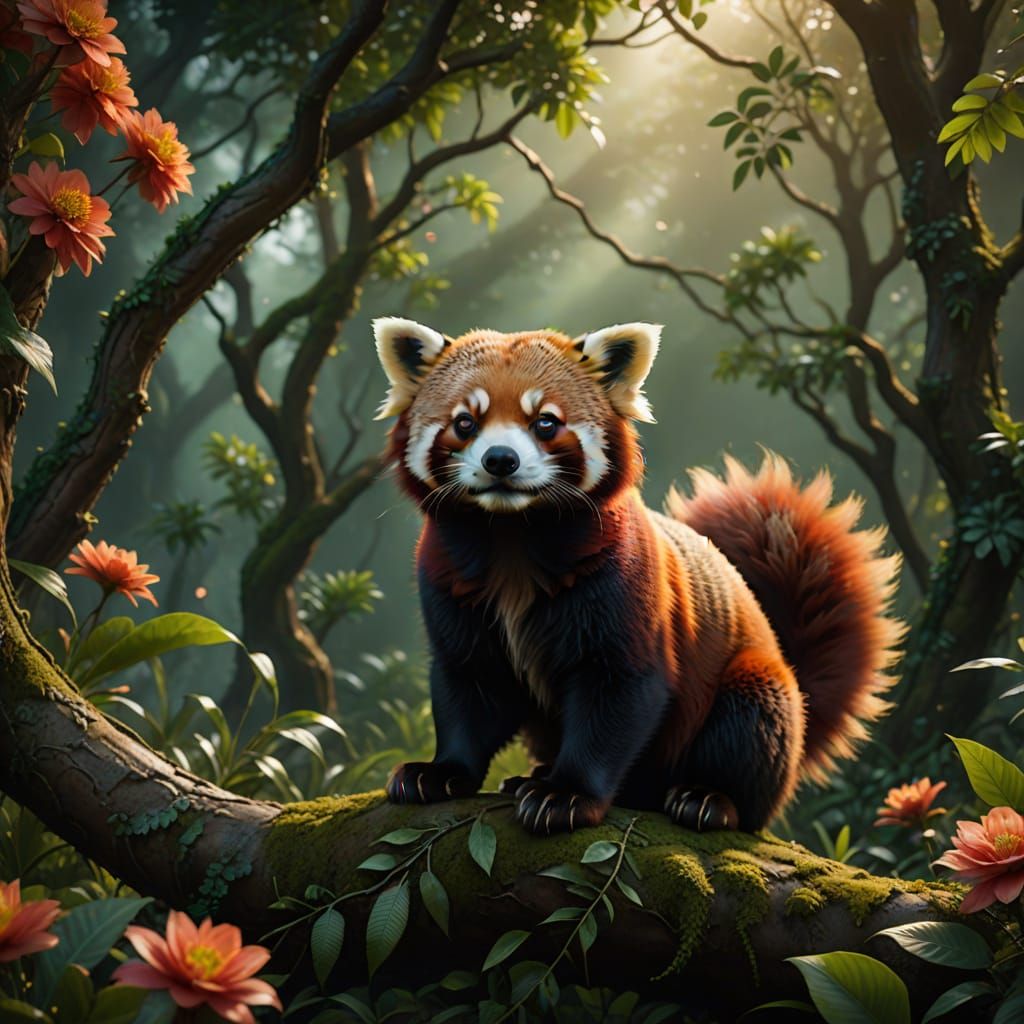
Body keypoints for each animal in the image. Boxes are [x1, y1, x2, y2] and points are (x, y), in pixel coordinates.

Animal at [372, 317, 903, 835]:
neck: (512, 539)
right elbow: (468, 684)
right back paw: (533, 774)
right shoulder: (448, 581)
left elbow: (619, 695)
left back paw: (707, 799)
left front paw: (567, 796)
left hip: (756, 685)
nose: (500, 458)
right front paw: (441, 772)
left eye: (545, 422)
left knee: (750, 725)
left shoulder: (621, 582)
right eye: (465, 422)